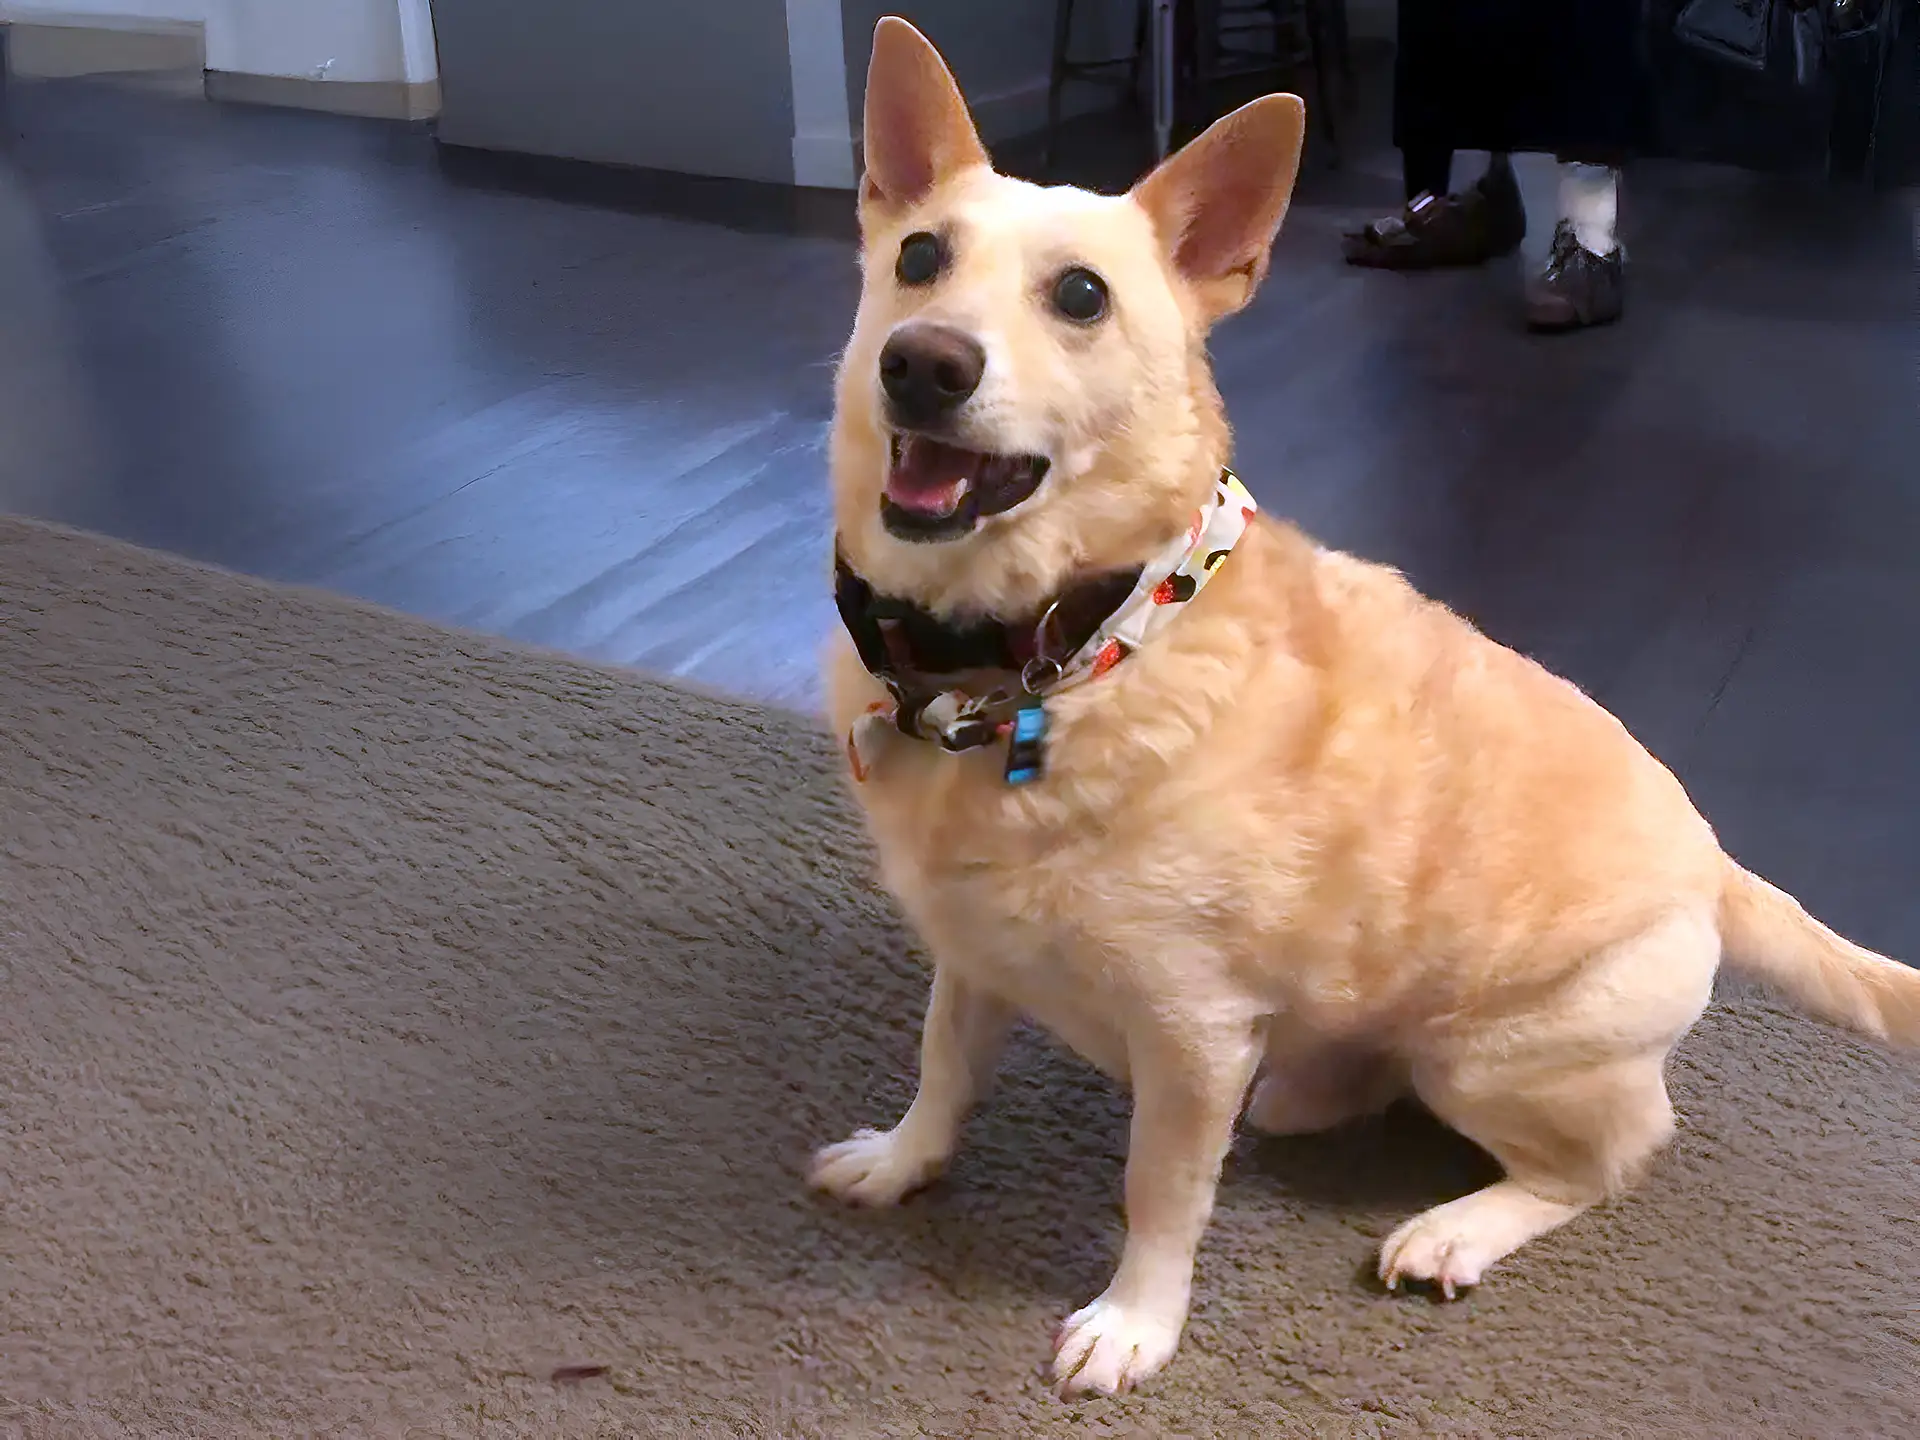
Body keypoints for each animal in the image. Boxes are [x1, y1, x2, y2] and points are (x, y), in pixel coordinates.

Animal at [810, 16, 1920, 1405]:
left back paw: (1455, 1229)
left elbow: (1159, 1192)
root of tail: (1719, 865)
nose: (922, 363)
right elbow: (944, 1065)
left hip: (1487, 1057)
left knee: (1613, 1155)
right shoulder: (972, 955)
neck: (1061, 652)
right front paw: (905, 1161)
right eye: (919, 259)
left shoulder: (1191, 1037)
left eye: (1081, 298)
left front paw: (1135, 1323)